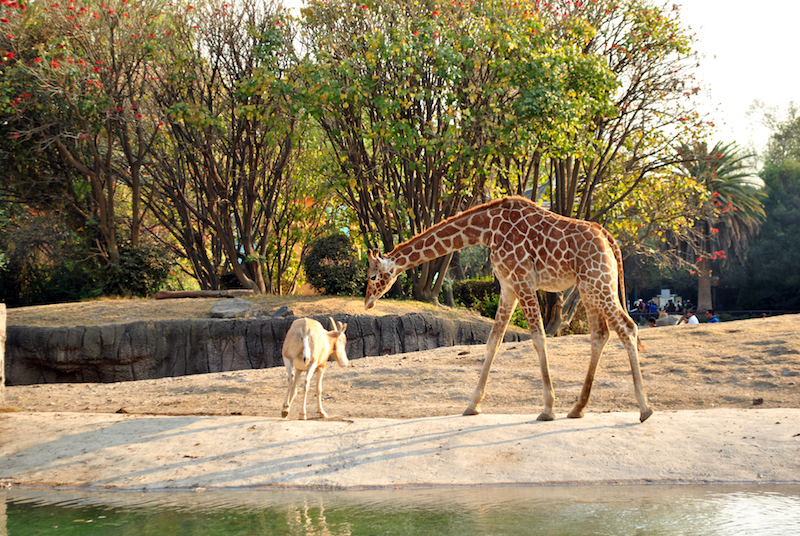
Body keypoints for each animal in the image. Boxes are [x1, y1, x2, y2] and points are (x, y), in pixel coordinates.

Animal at [365, 196, 653, 423]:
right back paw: (577, 408)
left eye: (372, 276)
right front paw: (472, 405)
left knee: (628, 327)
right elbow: (493, 341)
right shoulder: (507, 286)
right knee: (600, 335)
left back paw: (644, 408)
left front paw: (547, 409)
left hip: (598, 282)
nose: (367, 301)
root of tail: (609, 239)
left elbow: (538, 338)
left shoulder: (523, 280)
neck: (487, 228)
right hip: (589, 286)